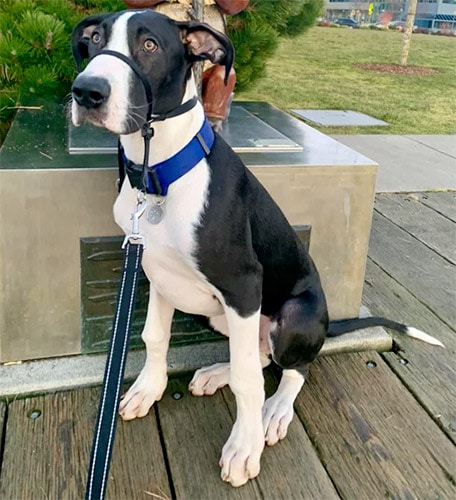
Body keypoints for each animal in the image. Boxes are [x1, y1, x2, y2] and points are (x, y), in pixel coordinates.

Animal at [70, 9, 442, 488]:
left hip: (292, 314)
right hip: (219, 314)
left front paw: (243, 448)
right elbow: (155, 335)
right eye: (96, 39)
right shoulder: (156, 271)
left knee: (292, 367)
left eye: (149, 45)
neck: (159, 175)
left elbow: (249, 380)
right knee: (257, 354)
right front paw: (148, 390)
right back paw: (216, 374)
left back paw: (275, 410)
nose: (87, 91)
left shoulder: (243, 285)